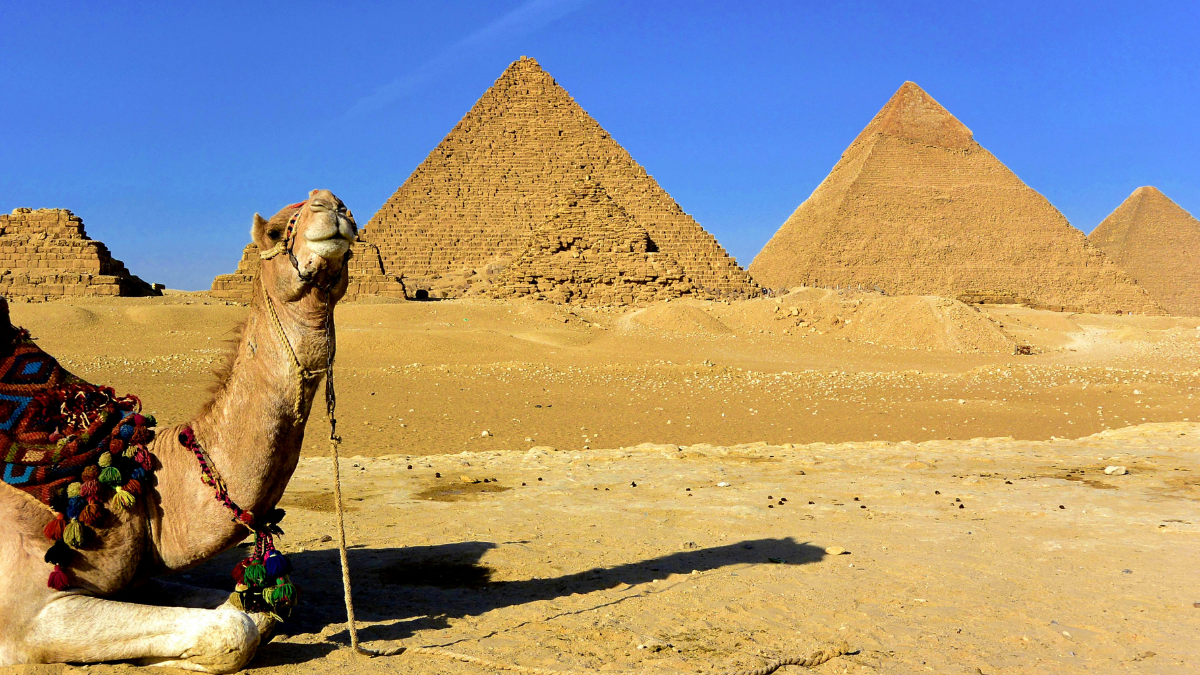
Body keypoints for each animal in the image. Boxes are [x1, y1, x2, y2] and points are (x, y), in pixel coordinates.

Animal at [0, 187, 355, 667]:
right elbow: (234, 629)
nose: (330, 203)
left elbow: (254, 610)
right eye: (276, 231)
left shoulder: (137, 578)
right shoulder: (30, 611)